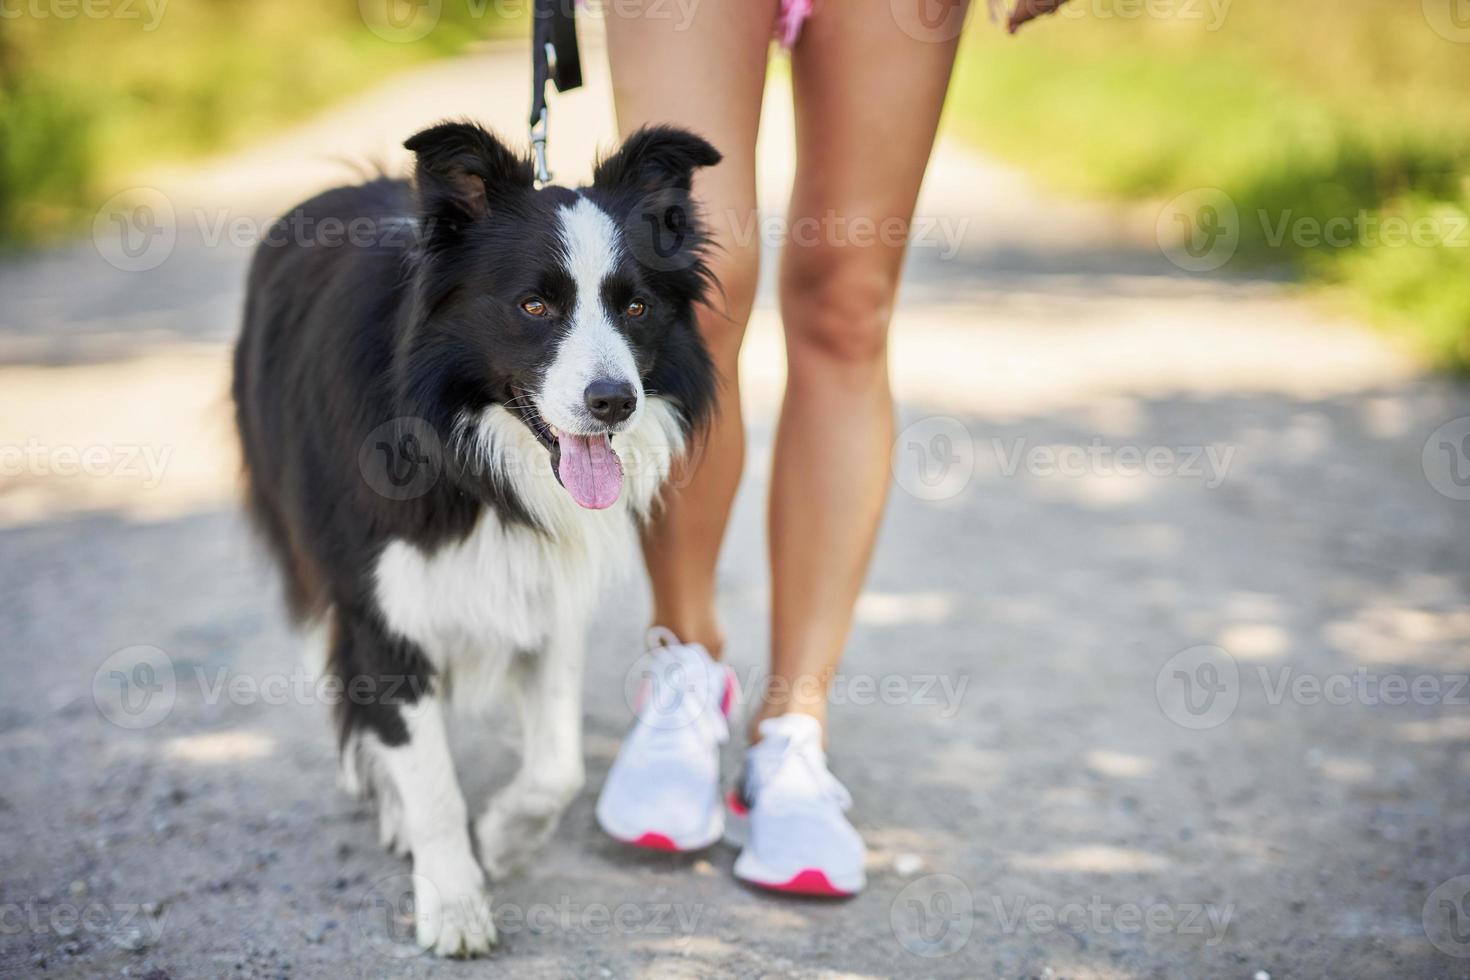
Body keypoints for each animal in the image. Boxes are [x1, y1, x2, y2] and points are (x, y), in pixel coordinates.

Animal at [233, 122, 723, 957]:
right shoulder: (383, 605)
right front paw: (455, 902)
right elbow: (427, 774)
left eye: (635, 305)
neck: (470, 450)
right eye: (534, 304)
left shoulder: (548, 590)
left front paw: (501, 840)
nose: (615, 402)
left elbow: (557, 767)